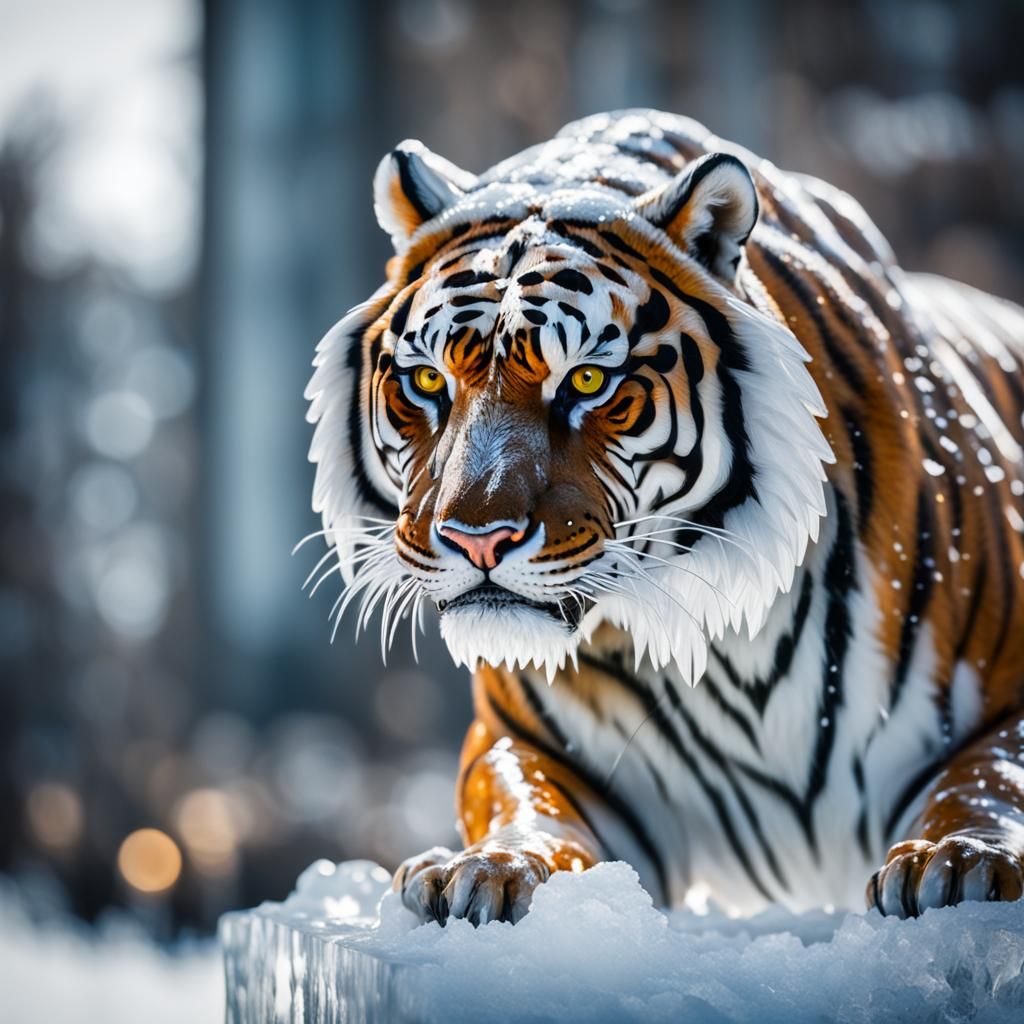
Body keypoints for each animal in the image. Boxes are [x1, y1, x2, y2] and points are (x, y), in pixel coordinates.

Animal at [305, 109, 1024, 925]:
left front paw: (955, 861)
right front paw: (482, 868)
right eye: (428, 380)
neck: (726, 649)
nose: (476, 540)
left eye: (587, 379)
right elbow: (526, 808)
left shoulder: (1000, 710)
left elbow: (984, 785)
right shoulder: (530, 748)